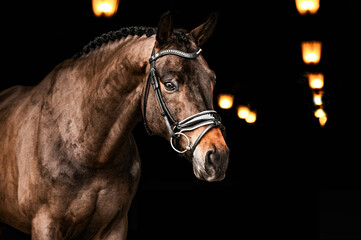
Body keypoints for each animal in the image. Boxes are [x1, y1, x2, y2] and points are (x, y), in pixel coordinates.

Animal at [0, 12, 229, 239]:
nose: (218, 157)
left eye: (212, 80)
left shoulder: (115, 226)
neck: (90, 151)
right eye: (170, 84)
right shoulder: (45, 224)